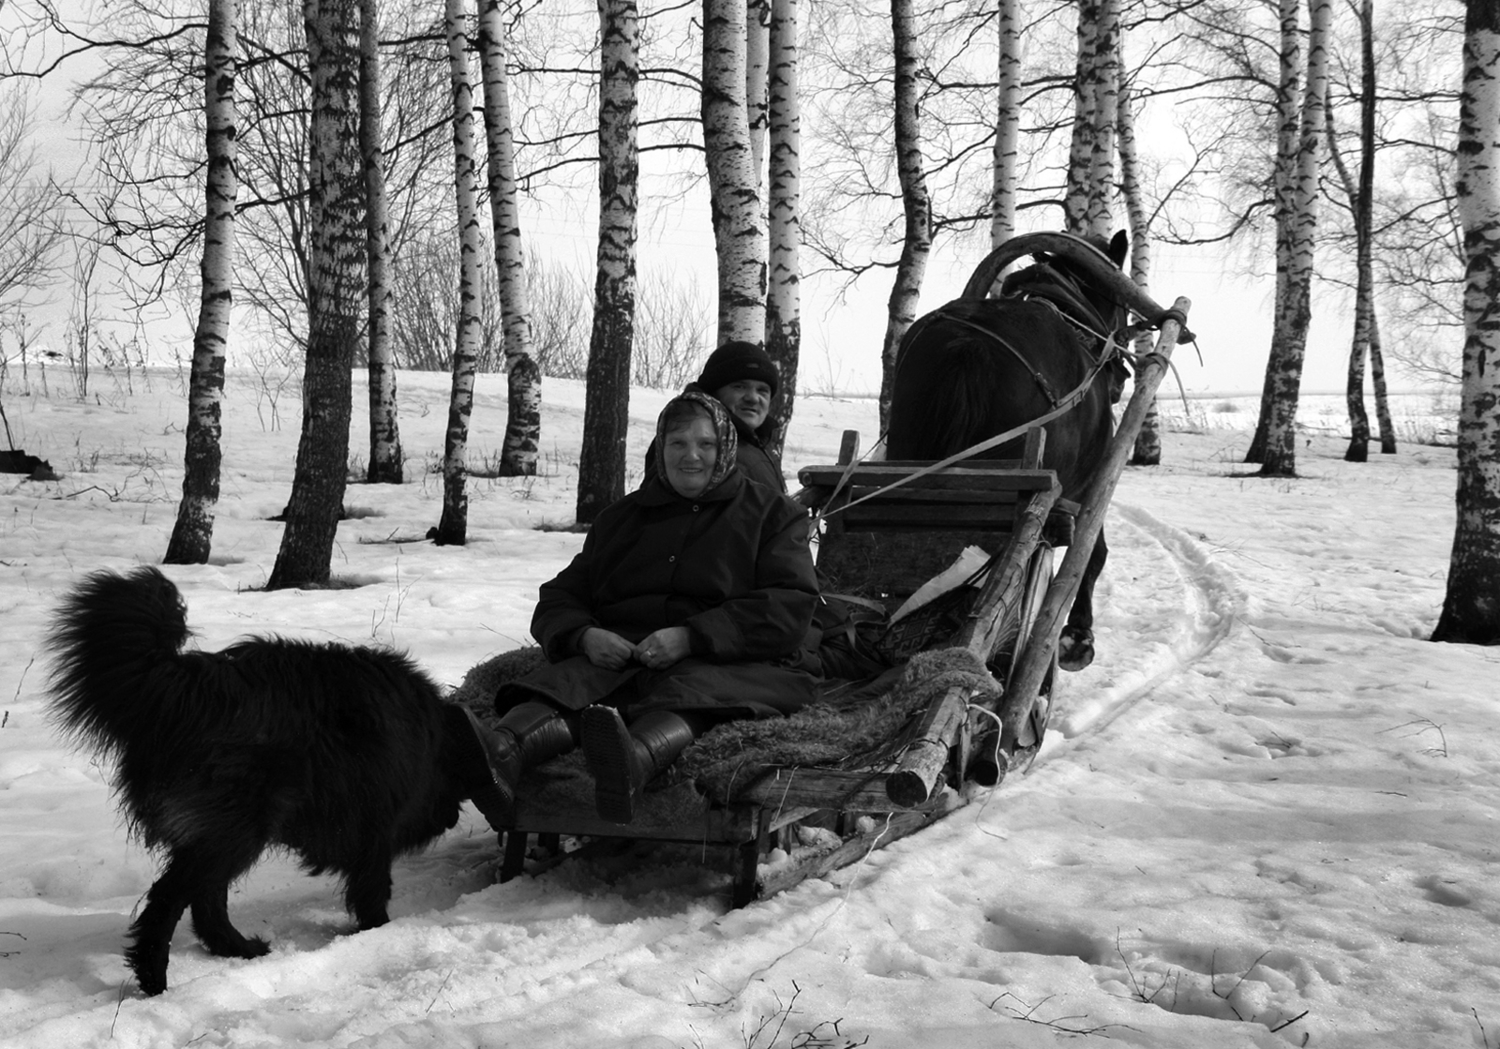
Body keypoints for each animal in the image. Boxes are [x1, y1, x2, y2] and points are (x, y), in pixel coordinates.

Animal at [46, 570, 489, 996]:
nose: (451, 819)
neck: (432, 739)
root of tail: (194, 688)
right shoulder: (376, 826)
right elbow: (372, 888)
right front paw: (379, 930)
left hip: (225, 832)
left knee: (206, 898)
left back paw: (235, 948)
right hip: (237, 827)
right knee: (172, 900)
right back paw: (156, 979)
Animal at [882, 231, 1128, 672]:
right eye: (1119, 299)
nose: (1120, 377)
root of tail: (967, 345)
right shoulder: (1085, 490)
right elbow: (1090, 554)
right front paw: (1077, 637)